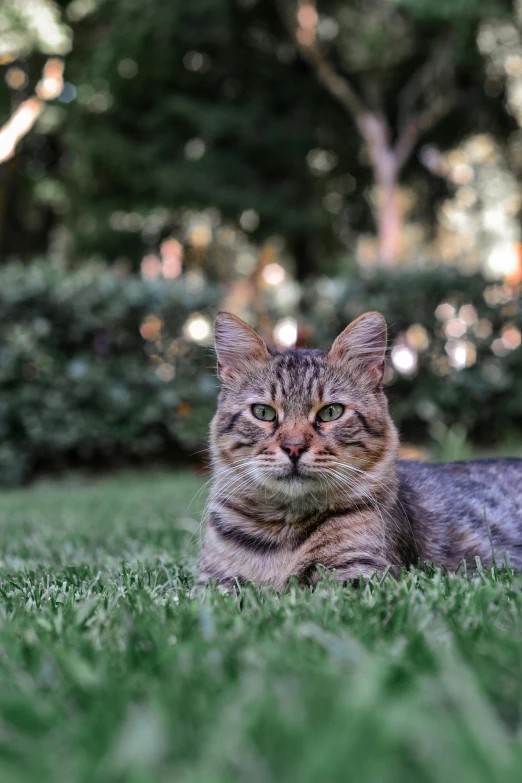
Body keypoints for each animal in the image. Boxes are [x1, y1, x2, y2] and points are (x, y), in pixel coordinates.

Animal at [196, 310, 520, 592]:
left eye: (330, 412)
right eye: (263, 412)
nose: (294, 447)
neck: (284, 533)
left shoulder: (360, 575)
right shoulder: (214, 581)